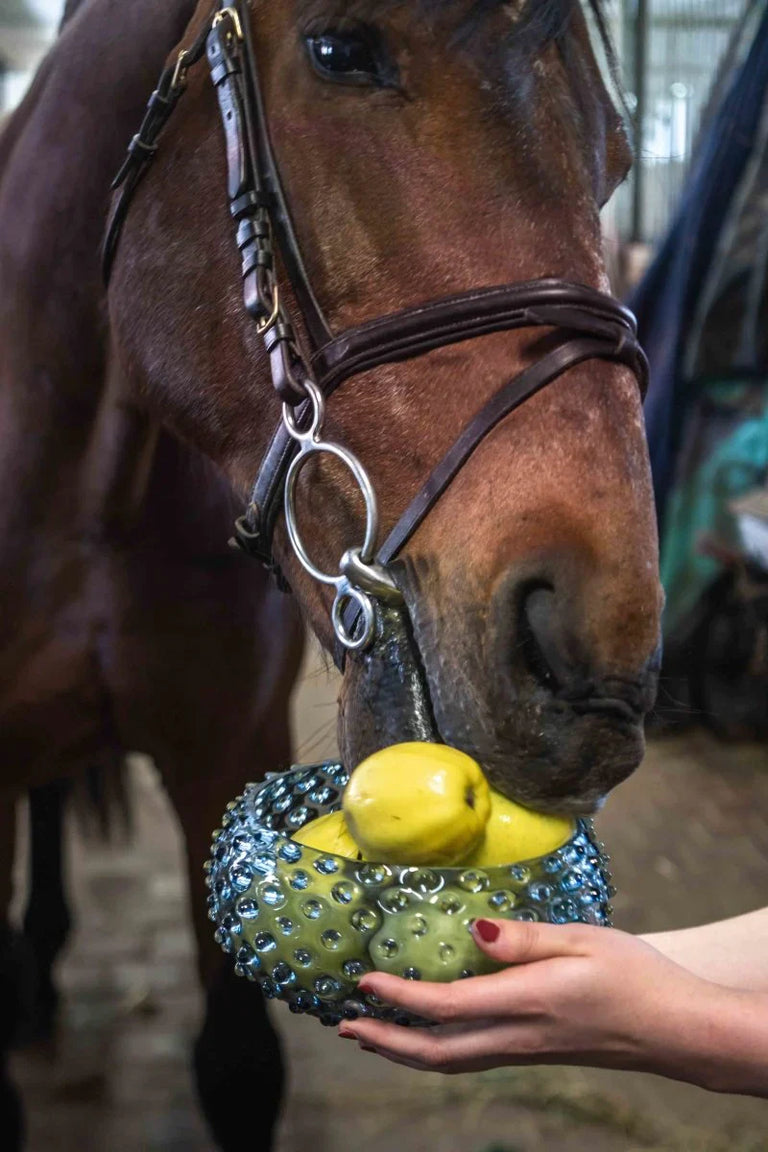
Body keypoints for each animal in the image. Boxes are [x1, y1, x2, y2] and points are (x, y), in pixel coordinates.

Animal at [0, 0, 663, 1147]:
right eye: (339, 50)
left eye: (618, 155)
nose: (591, 658)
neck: (88, 486)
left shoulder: (224, 750)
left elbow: (237, 1068)